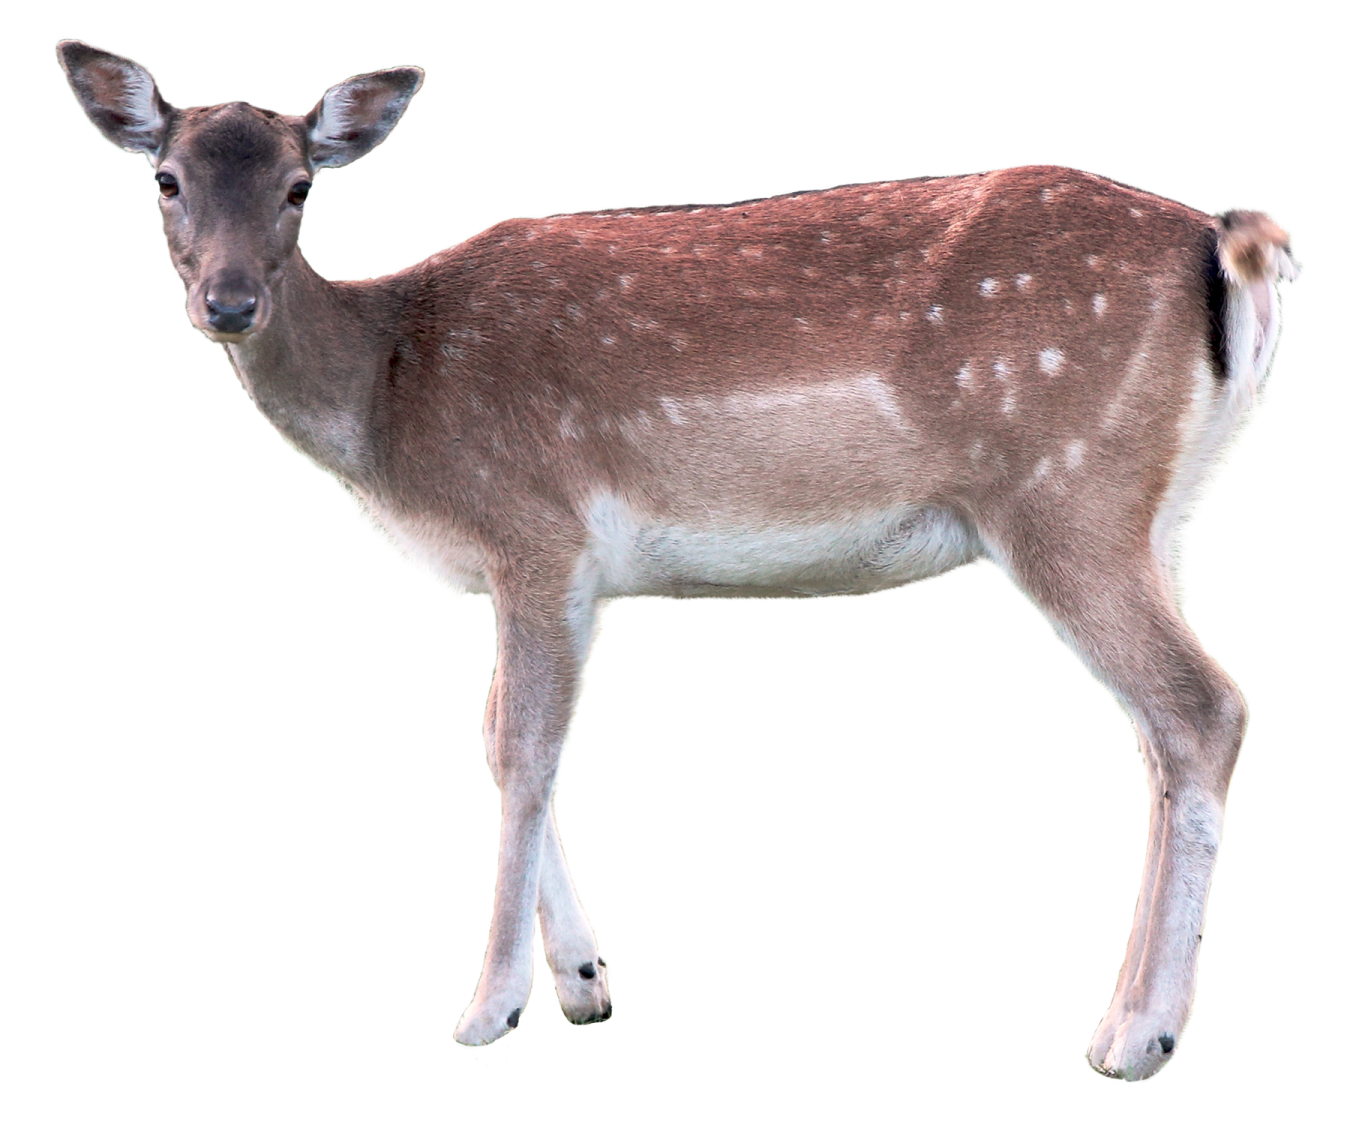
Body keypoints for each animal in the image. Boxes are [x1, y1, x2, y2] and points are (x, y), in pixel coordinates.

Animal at [57, 38, 1301, 1083]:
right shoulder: (556, 576)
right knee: (1167, 725)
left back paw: (1134, 1035)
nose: (228, 301)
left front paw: (491, 1011)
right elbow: (506, 742)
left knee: (1201, 708)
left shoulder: (536, 529)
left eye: (300, 188)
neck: (388, 394)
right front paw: (584, 982)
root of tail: (1230, 248)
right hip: (1159, 515)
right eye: (165, 181)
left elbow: (524, 745)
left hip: (1065, 495)